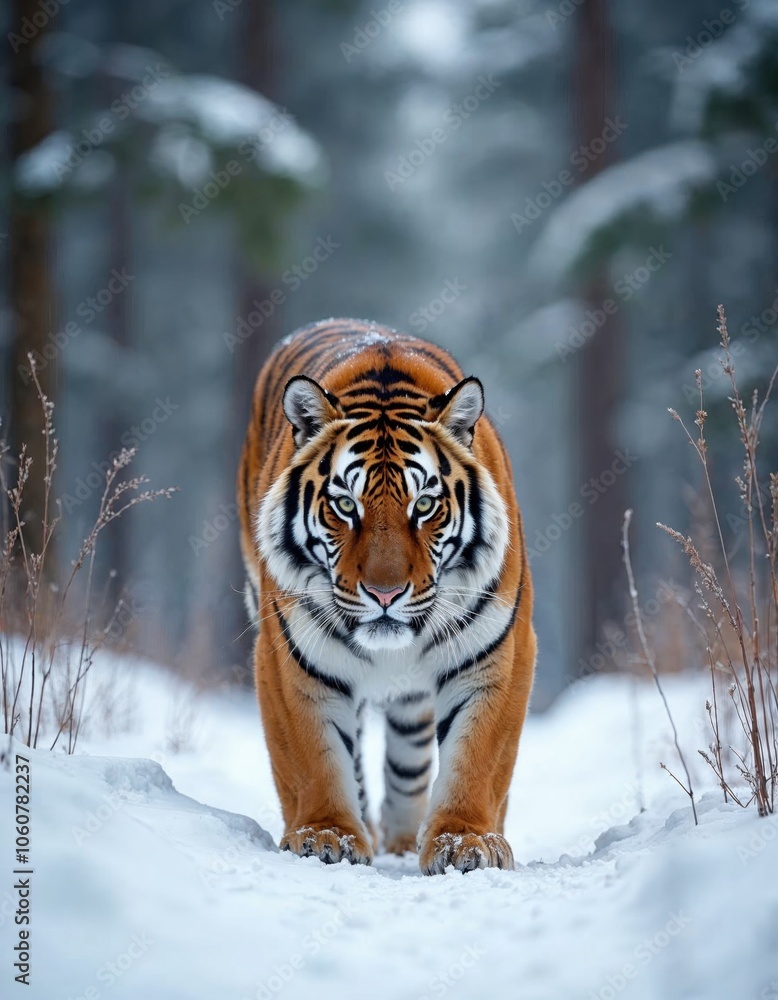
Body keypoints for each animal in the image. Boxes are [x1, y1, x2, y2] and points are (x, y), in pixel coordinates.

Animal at [237, 318, 536, 875]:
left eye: (424, 505)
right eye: (344, 505)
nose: (384, 592)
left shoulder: (497, 651)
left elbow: (478, 756)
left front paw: (465, 842)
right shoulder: (290, 655)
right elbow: (313, 757)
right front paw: (325, 835)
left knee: (410, 758)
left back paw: (400, 841)